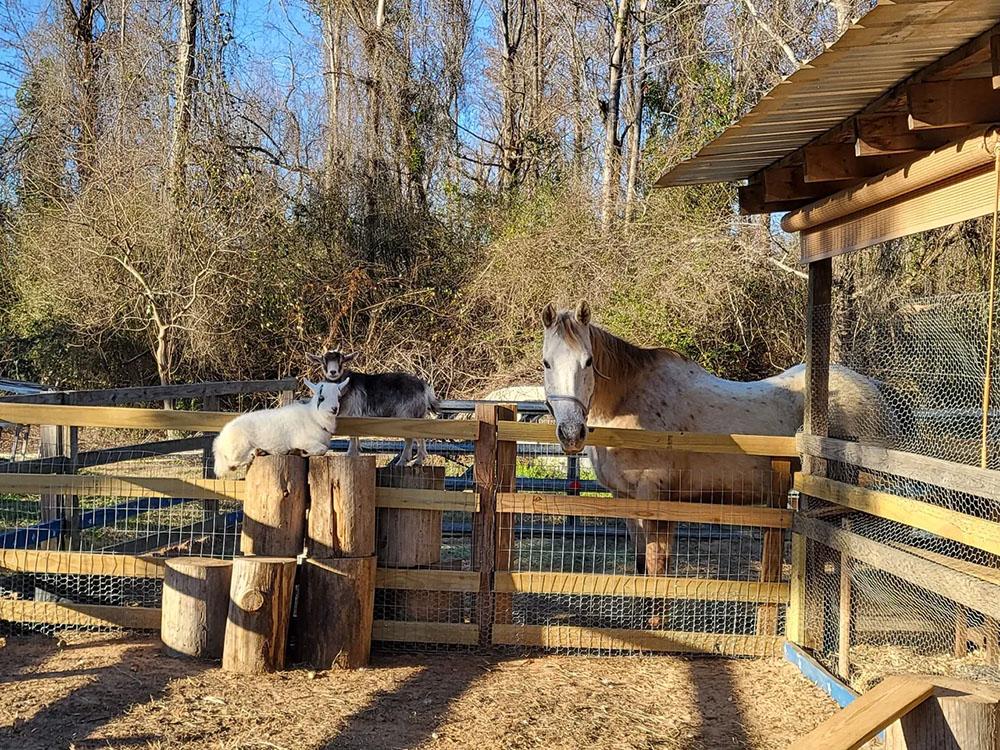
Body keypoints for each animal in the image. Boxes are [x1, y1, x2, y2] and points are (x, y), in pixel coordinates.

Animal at [213, 378, 350, 478]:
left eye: (338, 397)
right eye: (321, 398)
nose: (334, 409)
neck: (314, 418)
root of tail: (218, 443)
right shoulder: (302, 440)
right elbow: (322, 449)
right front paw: (301, 452)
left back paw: (261, 451)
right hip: (239, 446)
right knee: (232, 464)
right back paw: (255, 453)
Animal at [306, 352, 440, 468]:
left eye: (341, 361)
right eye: (324, 362)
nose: (333, 372)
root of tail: (423, 387)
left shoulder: (353, 413)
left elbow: (352, 436)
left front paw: (350, 454)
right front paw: (356, 452)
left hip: (407, 415)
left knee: (409, 439)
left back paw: (403, 462)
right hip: (418, 415)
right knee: (421, 436)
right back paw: (418, 460)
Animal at [544, 300, 896, 576]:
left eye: (588, 362)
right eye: (546, 363)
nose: (571, 433)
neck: (628, 404)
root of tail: (873, 389)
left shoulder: (655, 498)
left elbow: (657, 570)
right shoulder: (626, 500)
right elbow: (644, 567)